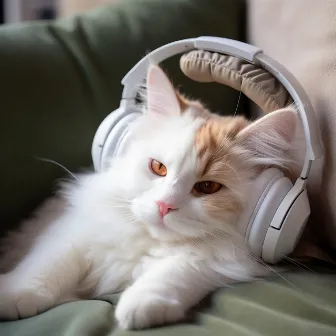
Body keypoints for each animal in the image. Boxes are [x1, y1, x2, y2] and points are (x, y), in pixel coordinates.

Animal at [0, 64, 296, 330]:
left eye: (208, 187)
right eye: (158, 168)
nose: (164, 206)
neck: (145, 240)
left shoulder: (221, 261)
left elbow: (174, 272)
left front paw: (140, 307)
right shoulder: (71, 231)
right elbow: (46, 265)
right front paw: (14, 295)